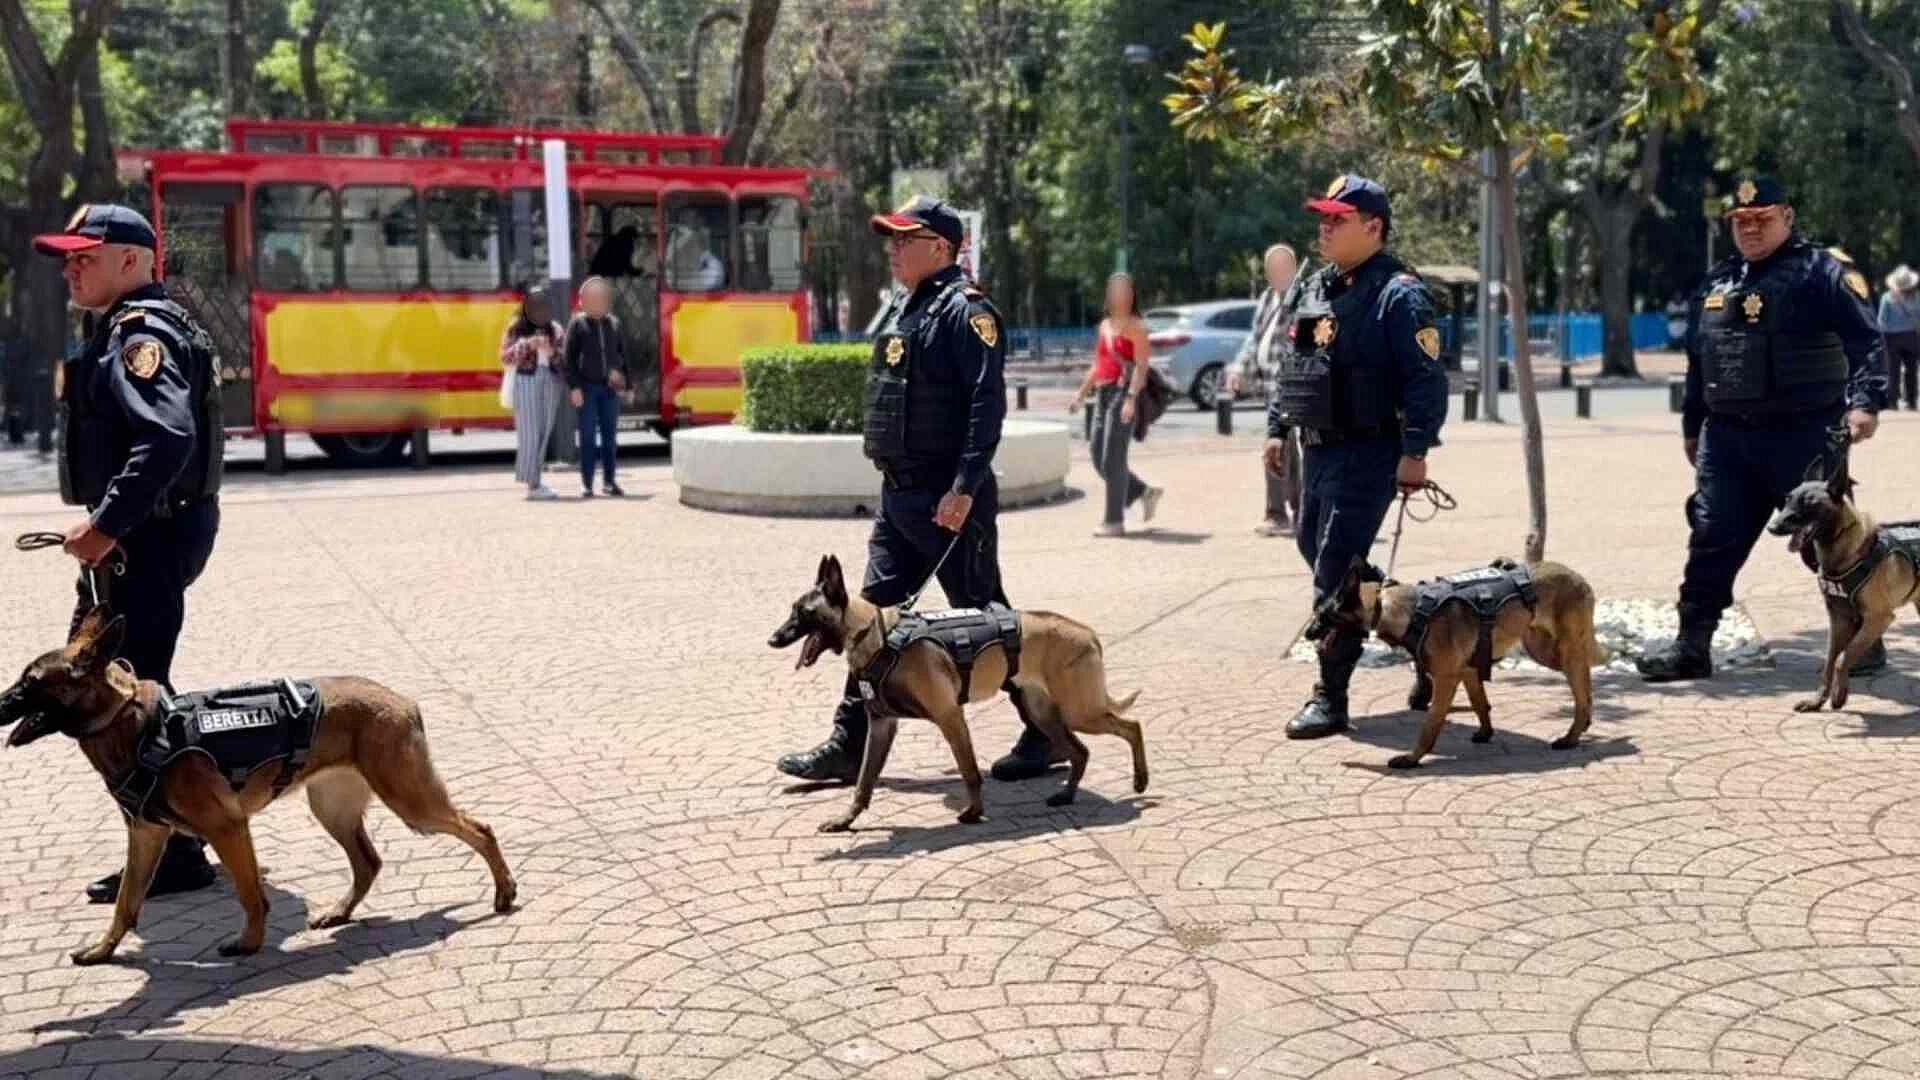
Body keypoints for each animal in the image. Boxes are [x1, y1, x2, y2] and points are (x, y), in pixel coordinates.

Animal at [0, 608, 517, 966]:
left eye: (30, 681)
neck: (135, 724)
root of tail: (402, 700)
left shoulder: (226, 827)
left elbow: (251, 894)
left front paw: (249, 943)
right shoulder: (146, 835)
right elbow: (127, 902)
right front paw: (103, 951)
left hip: (411, 802)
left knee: (480, 828)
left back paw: (504, 892)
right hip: (333, 809)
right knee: (368, 861)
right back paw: (339, 912)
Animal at [768, 555, 1146, 832]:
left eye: (804, 612)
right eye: (792, 609)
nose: (772, 639)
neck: (877, 634)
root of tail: (1087, 632)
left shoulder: (950, 717)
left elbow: (969, 771)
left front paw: (974, 812)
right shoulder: (881, 726)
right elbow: (864, 781)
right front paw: (846, 820)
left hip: (1080, 711)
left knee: (1132, 726)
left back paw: (1140, 781)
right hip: (1047, 715)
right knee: (1081, 751)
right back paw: (1066, 795)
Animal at [1307, 557, 1599, 768]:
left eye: (1322, 615)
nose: (1308, 633)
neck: (1407, 609)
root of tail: (1578, 577)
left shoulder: (1446, 679)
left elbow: (1431, 723)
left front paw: (1412, 758)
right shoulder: (1468, 671)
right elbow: (1480, 703)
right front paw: (1485, 733)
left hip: (1564, 654)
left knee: (1583, 693)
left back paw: (1571, 737)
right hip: (1546, 652)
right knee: (1586, 688)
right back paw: (1583, 726)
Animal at [1766, 461, 1919, 712]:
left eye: (1809, 503)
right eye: (1788, 498)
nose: (1771, 527)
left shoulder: (1878, 618)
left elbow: (1841, 658)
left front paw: (1839, 694)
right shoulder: (1839, 619)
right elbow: (1830, 660)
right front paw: (1817, 700)